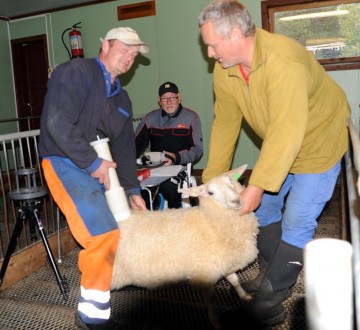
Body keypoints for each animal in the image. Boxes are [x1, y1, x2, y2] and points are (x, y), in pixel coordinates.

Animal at [110, 164, 258, 328]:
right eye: (210, 193)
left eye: (230, 183)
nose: (236, 201)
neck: (210, 222)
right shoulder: (204, 272)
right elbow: (210, 299)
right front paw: (215, 321)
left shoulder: (223, 262)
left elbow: (235, 281)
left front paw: (244, 296)